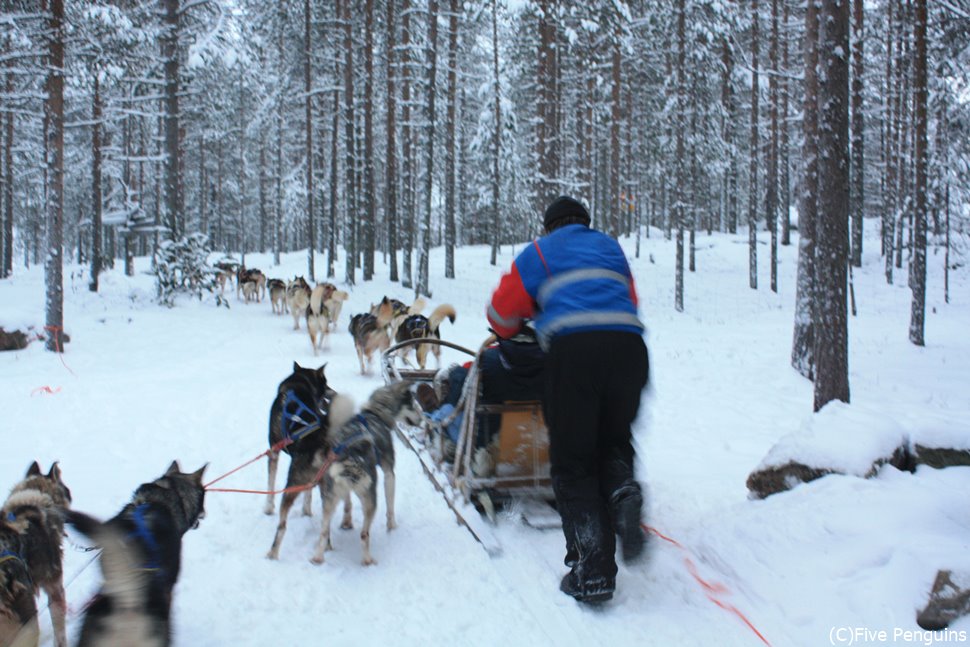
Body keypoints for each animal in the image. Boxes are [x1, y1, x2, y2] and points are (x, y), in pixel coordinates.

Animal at [264, 364, 356, 560]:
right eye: (326, 383)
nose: (334, 392)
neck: (296, 385)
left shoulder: (273, 452)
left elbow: (270, 485)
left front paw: (268, 508)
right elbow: (308, 495)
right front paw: (306, 511)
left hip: (291, 487)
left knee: (282, 526)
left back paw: (272, 553)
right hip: (329, 488)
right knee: (329, 521)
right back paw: (331, 540)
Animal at [308, 382, 418, 564]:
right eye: (412, 405)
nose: (421, 420)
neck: (375, 413)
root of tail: (350, 459)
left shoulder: (345, 491)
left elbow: (347, 504)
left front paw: (346, 522)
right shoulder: (389, 473)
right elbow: (390, 506)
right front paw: (392, 526)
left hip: (329, 500)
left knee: (324, 531)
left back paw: (318, 556)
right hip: (370, 502)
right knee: (364, 534)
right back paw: (367, 560)